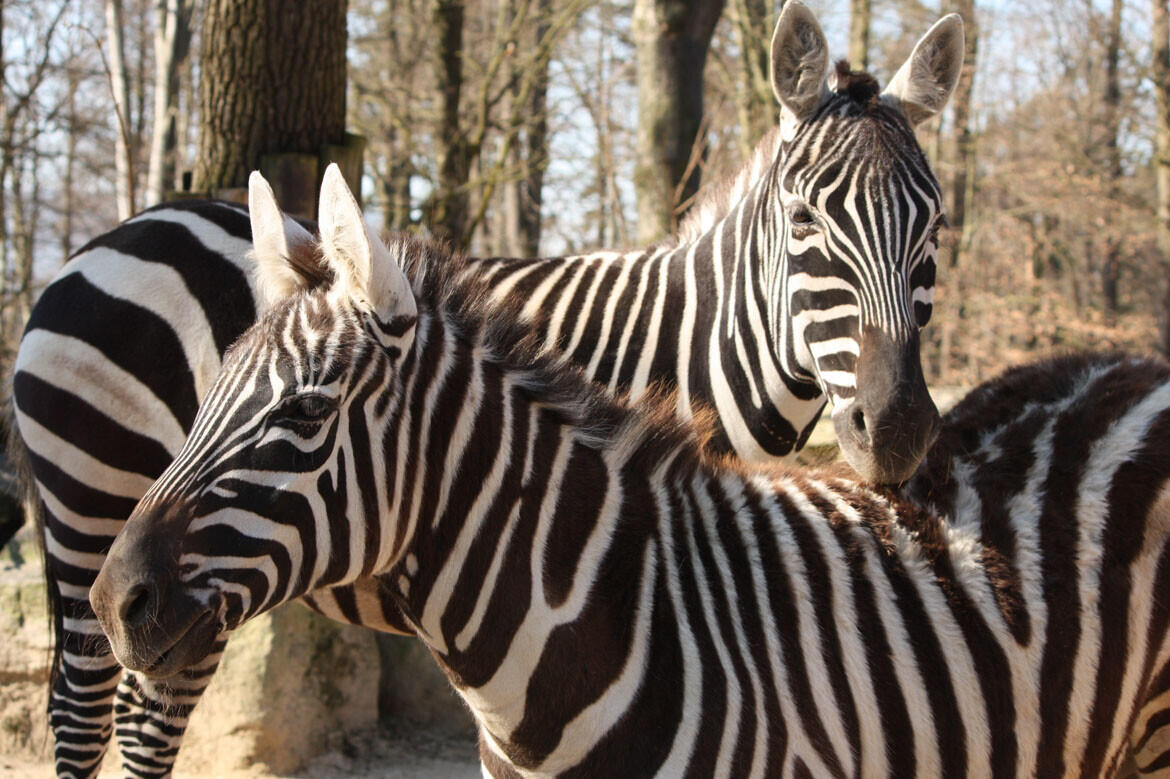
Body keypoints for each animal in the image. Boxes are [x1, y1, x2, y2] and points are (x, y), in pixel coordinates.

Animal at [13, 4, 964, 775]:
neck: (688, 344)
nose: (897, 427)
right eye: (805, 219)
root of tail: (102, 241)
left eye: (936, 221)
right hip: (94, 521)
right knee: (99, 716)